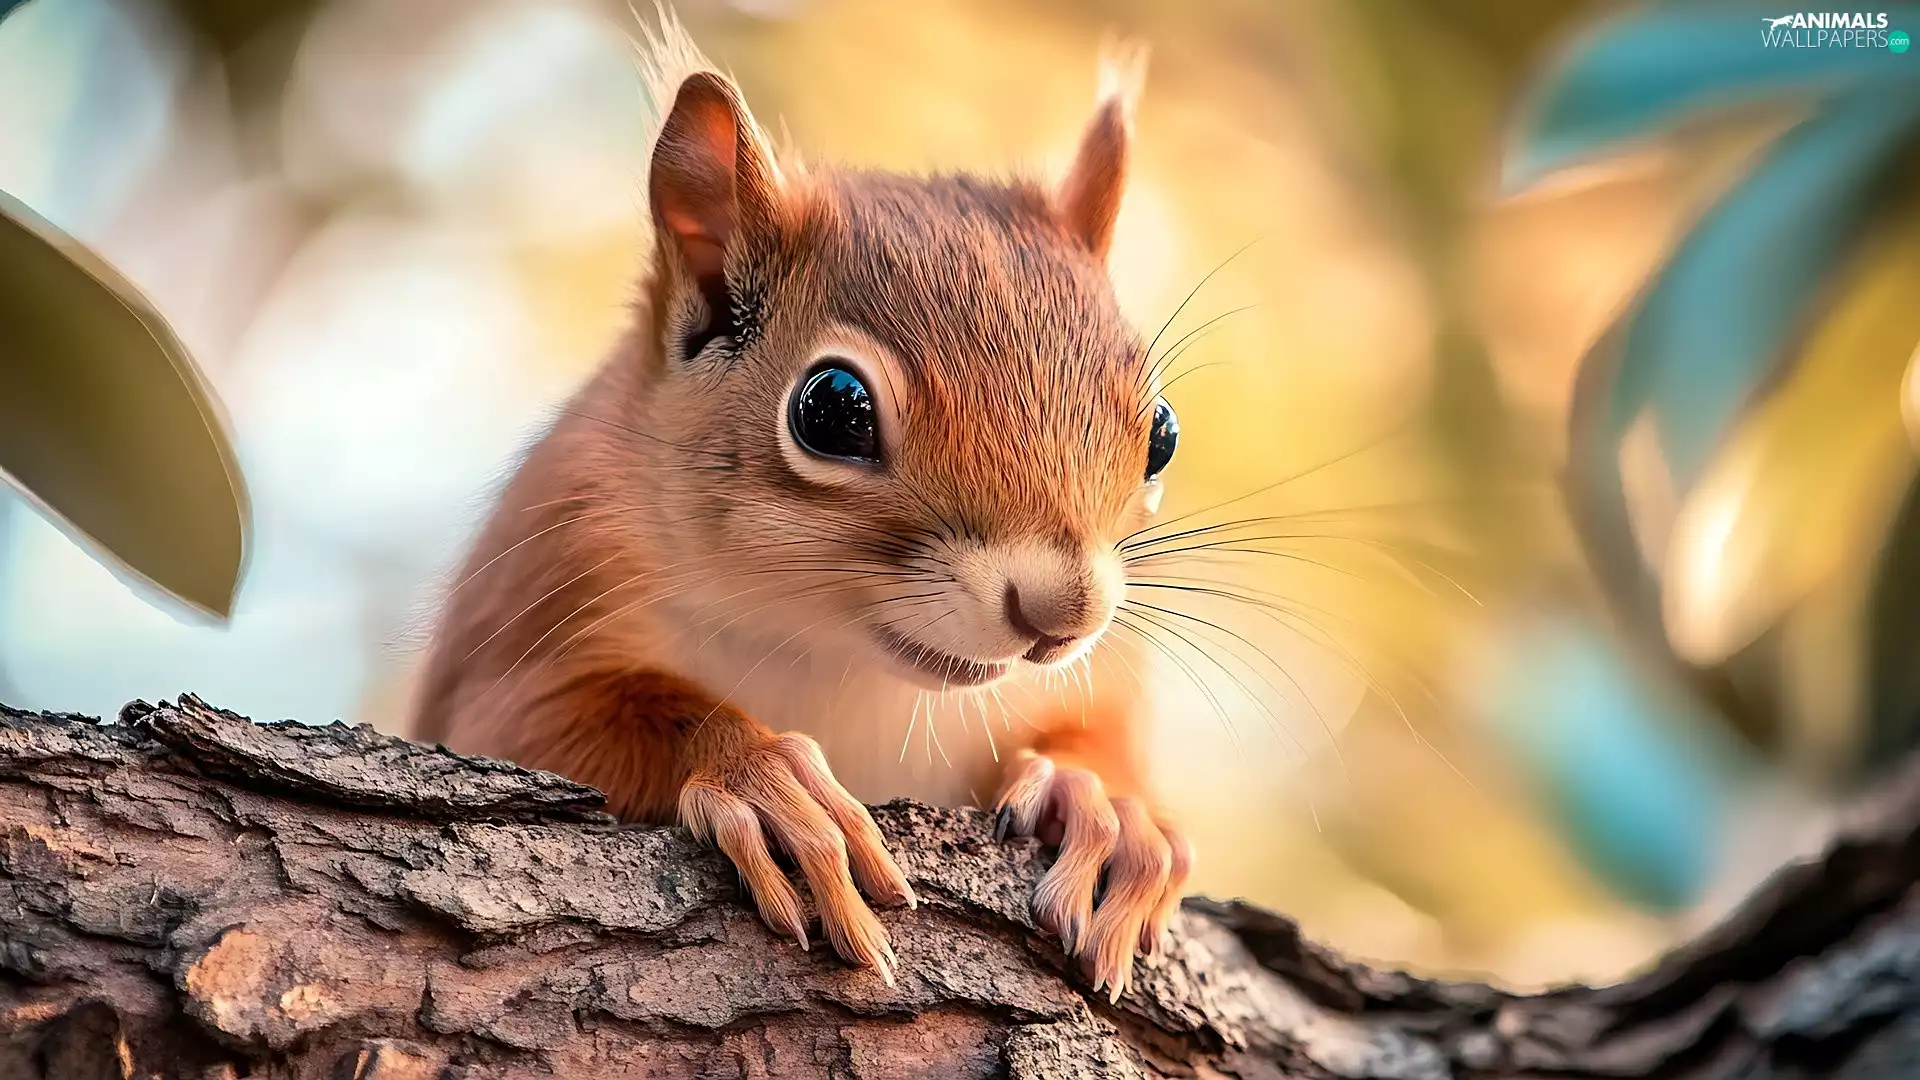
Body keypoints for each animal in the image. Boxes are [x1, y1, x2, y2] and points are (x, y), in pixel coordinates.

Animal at [411, 13, 1191, 1002]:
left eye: (1162, 431)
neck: (838, 657)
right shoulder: (537, 605)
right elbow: (559, 716)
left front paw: (1107, 805)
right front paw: (763, 776)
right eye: (832, 410)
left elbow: (1098, 734)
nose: (1064, 615)